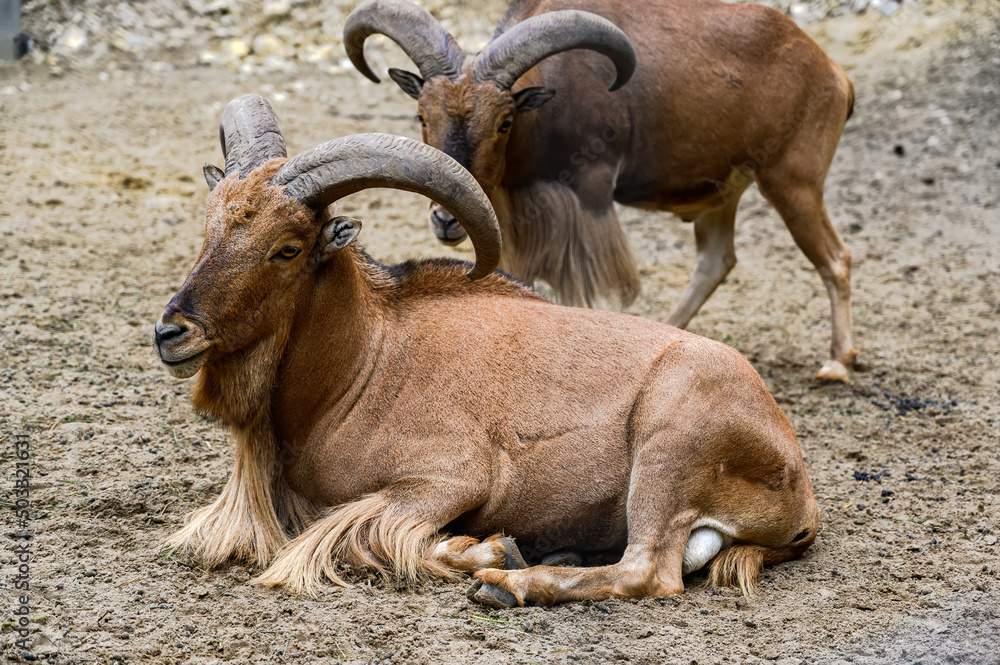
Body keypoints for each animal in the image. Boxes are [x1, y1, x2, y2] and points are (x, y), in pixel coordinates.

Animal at [155, 93, 819, 607]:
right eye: (210, 228)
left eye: (287, 248)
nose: (171, 332)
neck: (361, 367)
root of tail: (800, 487)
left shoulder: (446, 478)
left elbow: (367, 540)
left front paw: (495, 551)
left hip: (668, 449)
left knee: (648, 572)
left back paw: (511, 585)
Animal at [343, 0, 858, 384]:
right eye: (422, 116)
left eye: (505, 122)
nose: (446, 220)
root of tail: (833, 73)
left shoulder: (588, 195)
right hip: (725, 191)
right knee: (717, 259)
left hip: (792, 181)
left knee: (835, 257)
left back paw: (837, 362)